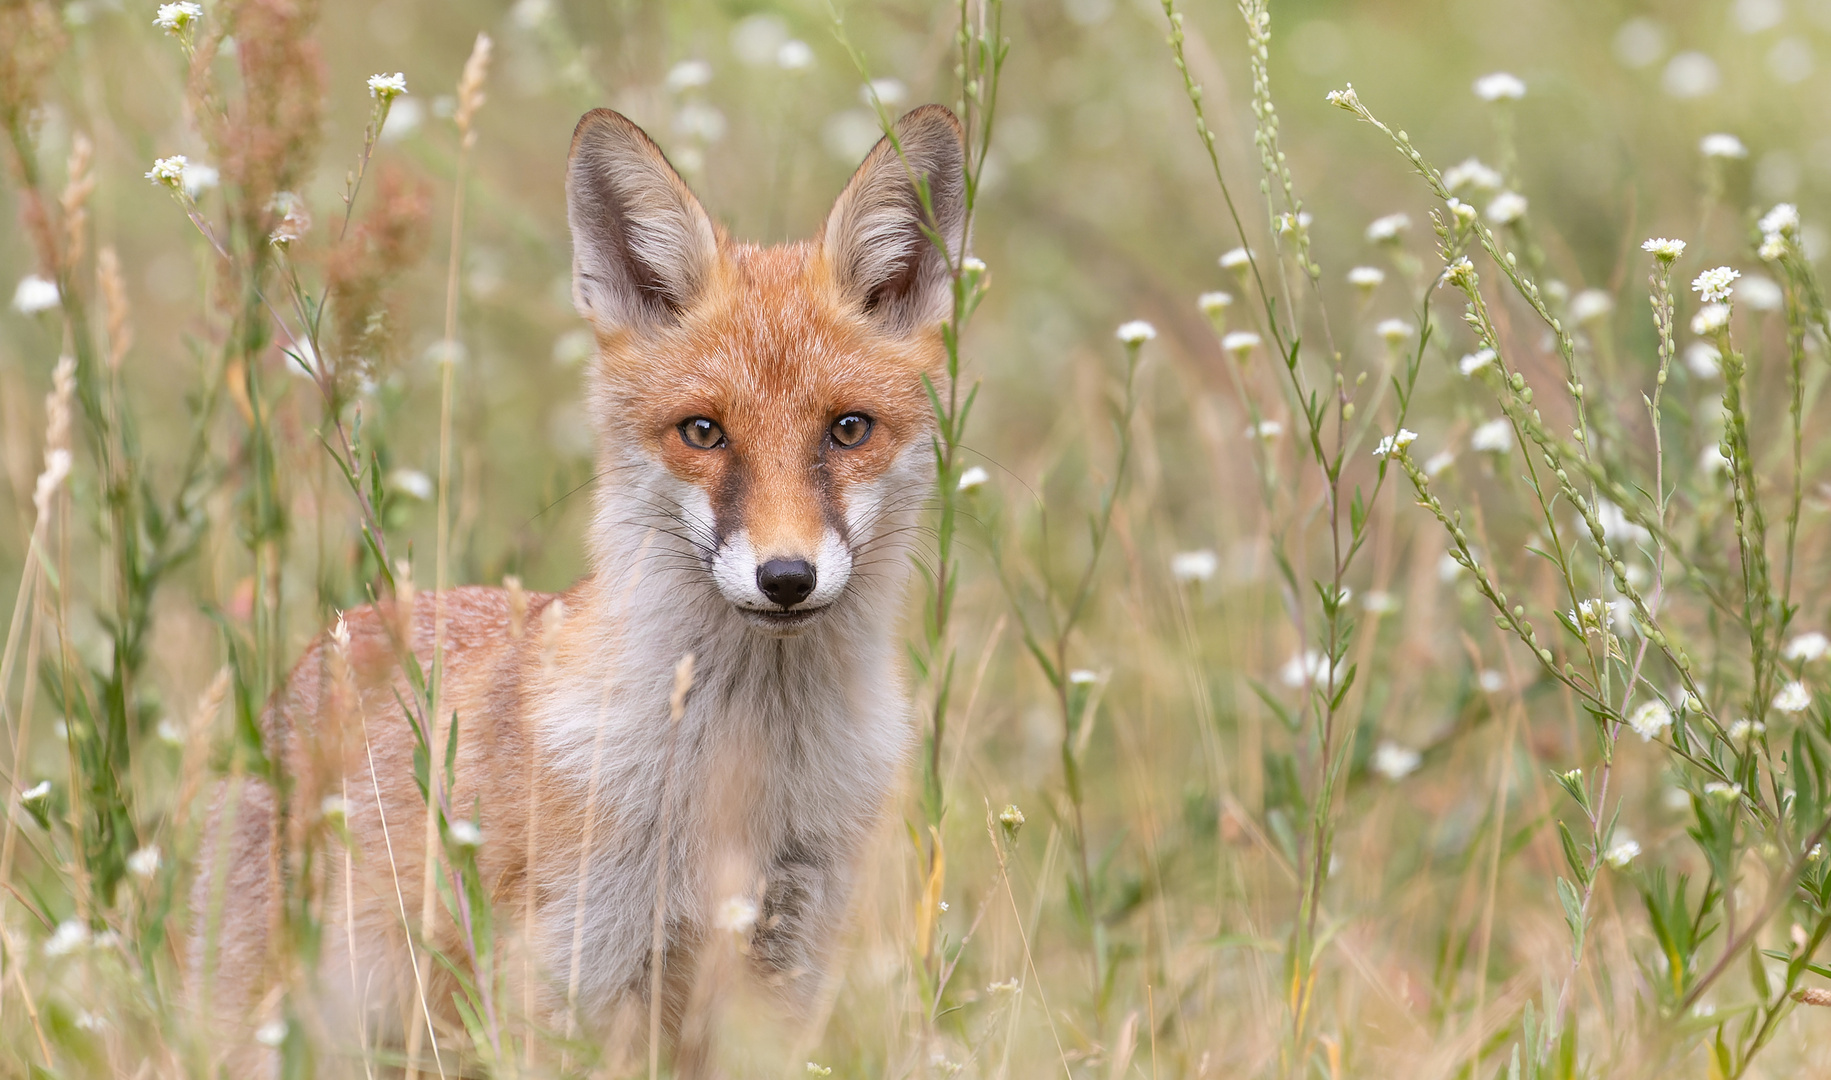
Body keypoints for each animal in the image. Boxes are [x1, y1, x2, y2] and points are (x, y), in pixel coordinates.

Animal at [191, 103, 974, 1076]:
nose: (786, 577)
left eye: (848, 429)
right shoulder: (567, 979)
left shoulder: (778, 981)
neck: (744, 780)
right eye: (703, 432)